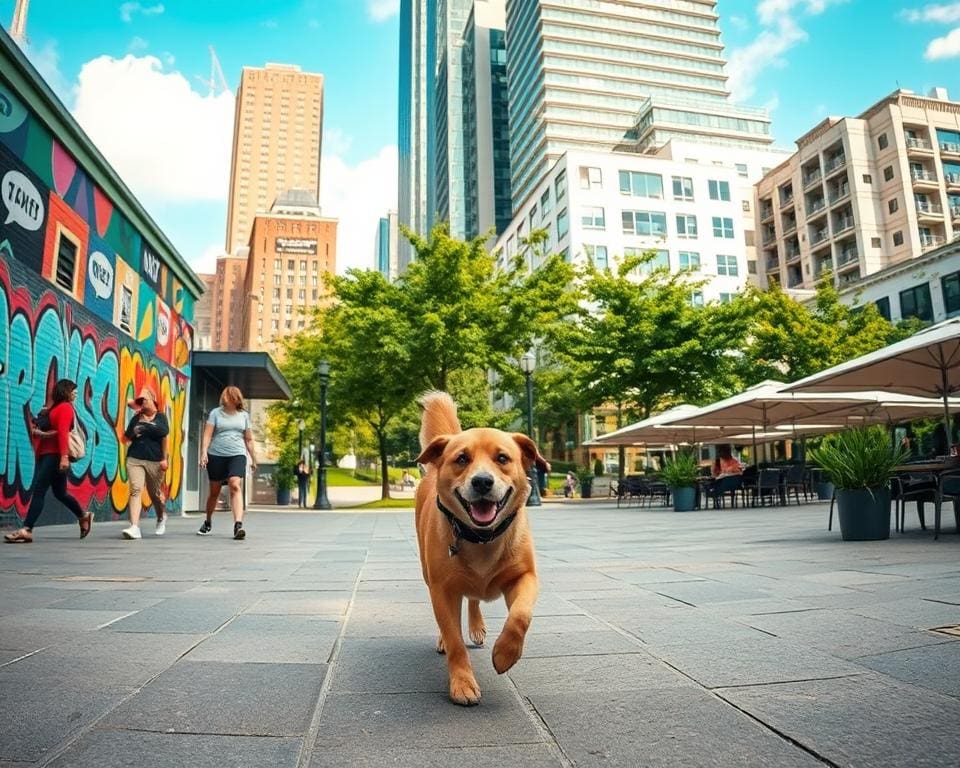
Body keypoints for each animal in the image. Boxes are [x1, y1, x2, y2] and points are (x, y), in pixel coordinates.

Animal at [414, 392, 548, 704]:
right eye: (462, 458)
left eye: (502, 458)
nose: (483, 481)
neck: (482, 538)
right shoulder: (442, 589)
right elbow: (454, 639)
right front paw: (462, 683)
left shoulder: (524, 577)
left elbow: (520, 616)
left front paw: (505, 653)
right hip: (429, 575)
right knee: (451, 617)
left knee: (474, 599)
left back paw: (477, 626)